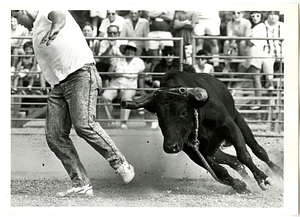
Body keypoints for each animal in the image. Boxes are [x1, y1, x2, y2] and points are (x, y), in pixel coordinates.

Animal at [120, 71, 282, 193]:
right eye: (159, 115)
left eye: (183, 112)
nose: (171, 147)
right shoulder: (191, 150)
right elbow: (219, 170)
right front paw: (240, 185)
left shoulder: (230, 126)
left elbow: (244, 155)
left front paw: (263, 179)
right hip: (212, 150)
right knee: (233, 161)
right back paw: (246, 179)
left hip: (238, 119)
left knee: (258, 150)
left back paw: (278, 171)